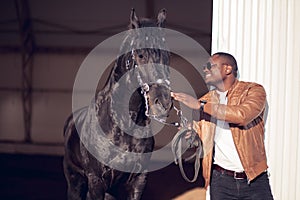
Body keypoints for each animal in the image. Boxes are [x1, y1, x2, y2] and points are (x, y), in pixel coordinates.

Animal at [63, 8, 172, 199]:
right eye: (141, 54)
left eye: (168, 55)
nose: (163, 101)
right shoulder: (97, 182)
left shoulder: (138, 181)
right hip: (75, 181)